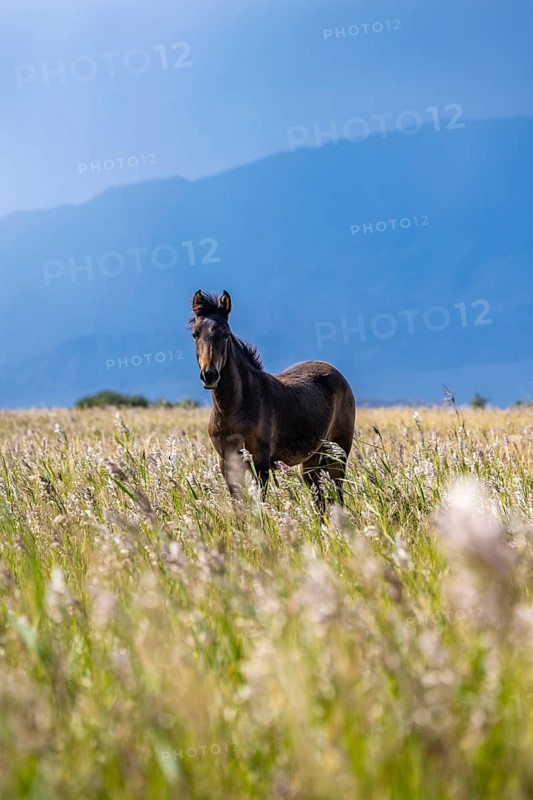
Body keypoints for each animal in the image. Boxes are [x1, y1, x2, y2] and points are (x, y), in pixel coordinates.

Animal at [189, 290, 356, 511]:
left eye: (225, 334)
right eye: (195, 334)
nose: (209, 375)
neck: (233, 406)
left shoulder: (260, 463)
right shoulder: (227, 463)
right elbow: (238, 507)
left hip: (338, 452)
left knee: (337, 493)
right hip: (311, 460)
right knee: (320, 500)